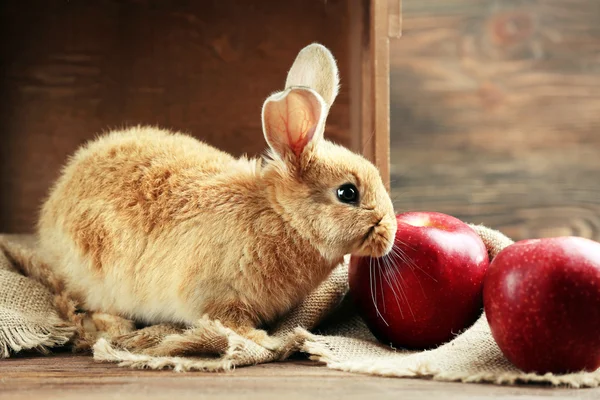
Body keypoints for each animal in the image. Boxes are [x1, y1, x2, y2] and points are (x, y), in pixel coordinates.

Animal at [35, 44, 396, 350]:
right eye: (347, 193)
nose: (390, 233)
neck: (282, 216)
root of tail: (53, 205)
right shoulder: (218, 297)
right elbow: (230, 322)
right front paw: (266, 341)